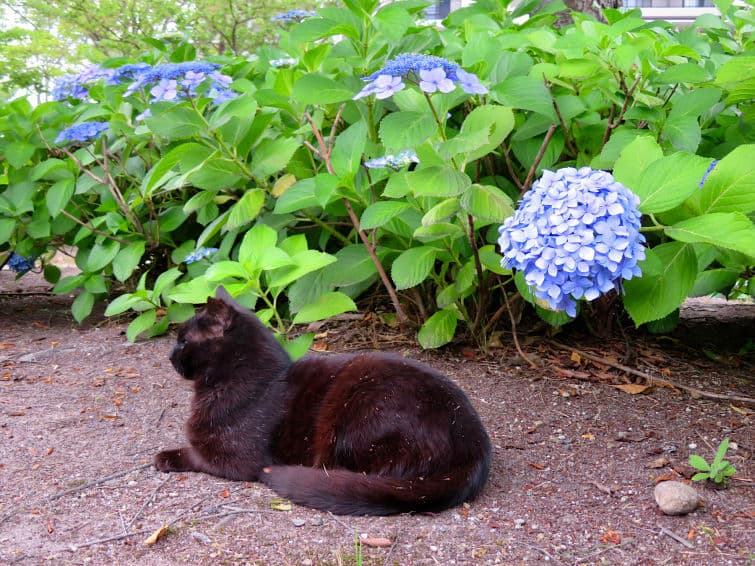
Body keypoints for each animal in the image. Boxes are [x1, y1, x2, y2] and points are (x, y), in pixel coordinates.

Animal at [157, 290, 494, 516]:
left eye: (183, 341)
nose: (169, 356)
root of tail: (474, 443)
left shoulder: (235, 459)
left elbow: (195, 455)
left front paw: (164, 457)